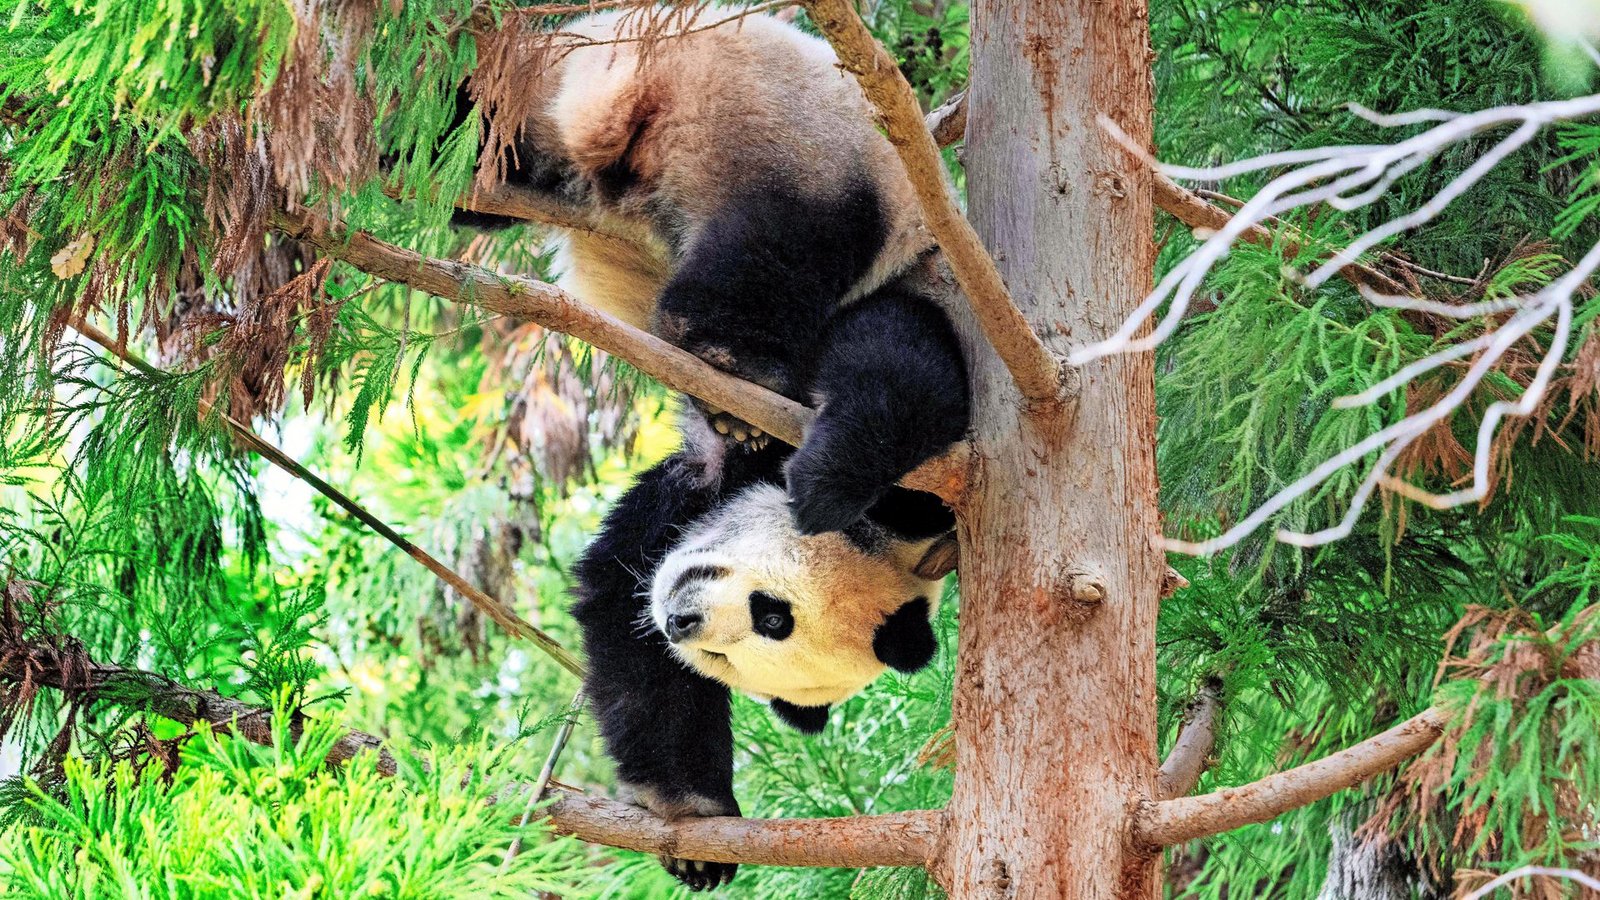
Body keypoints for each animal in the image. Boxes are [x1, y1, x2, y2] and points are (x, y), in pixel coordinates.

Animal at [456, 8, 971, 535]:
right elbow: (903, 377)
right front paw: (822, 492)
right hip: (798, 149)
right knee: (783, 246)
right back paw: (731, 362)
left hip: (562, 99)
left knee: (499, 131)